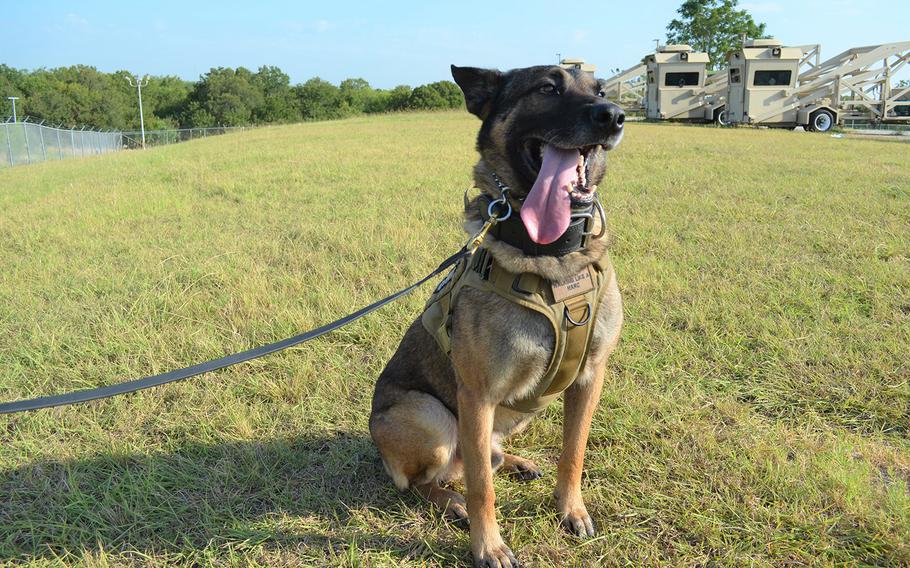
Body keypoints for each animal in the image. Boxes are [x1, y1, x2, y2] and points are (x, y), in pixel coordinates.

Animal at [370, 64, 628, 564]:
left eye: (601, 89)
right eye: (547, 88)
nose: (613, 116)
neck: (549, 258)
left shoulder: (590, 378)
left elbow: (574, 453)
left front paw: (570, 509)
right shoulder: (477, 396)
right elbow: (482, 490)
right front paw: (488, 545)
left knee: (485, 458)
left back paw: (518, 462)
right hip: (430, 416)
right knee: (430, 481)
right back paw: (451, 502)